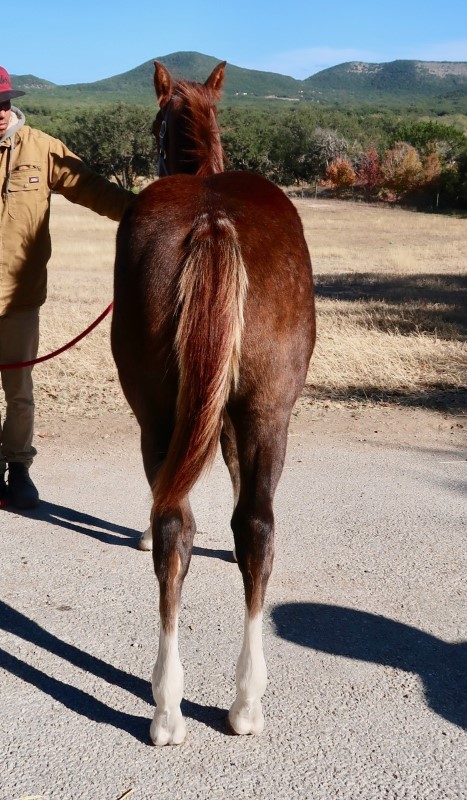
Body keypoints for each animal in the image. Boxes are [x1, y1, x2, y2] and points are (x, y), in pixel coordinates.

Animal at [111, 61, 316, 744]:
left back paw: (176, 705)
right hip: (263, 413)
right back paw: (231, 700)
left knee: (186, 524)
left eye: (154, 126)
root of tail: (213, 220)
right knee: (240, 525)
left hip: (172, 417)